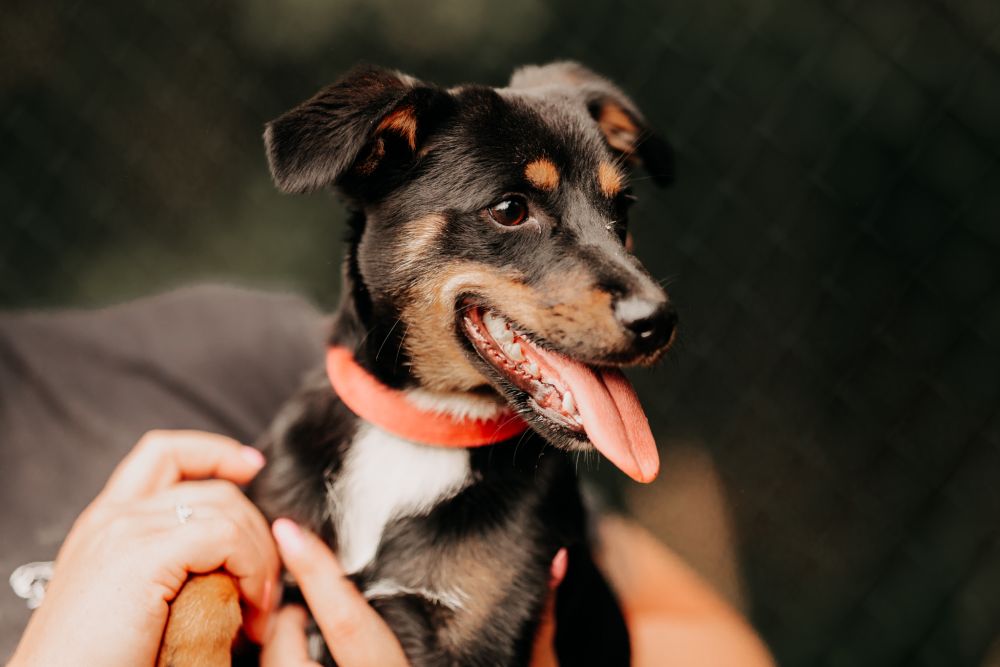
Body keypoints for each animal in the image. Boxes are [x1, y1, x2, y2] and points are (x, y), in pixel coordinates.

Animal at [157, 61, 676, 667]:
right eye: (510, 210)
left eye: (622, 210)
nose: (659, 321)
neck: (423, 425)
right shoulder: (267, 531)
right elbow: (206, 580)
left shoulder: (475, 638)